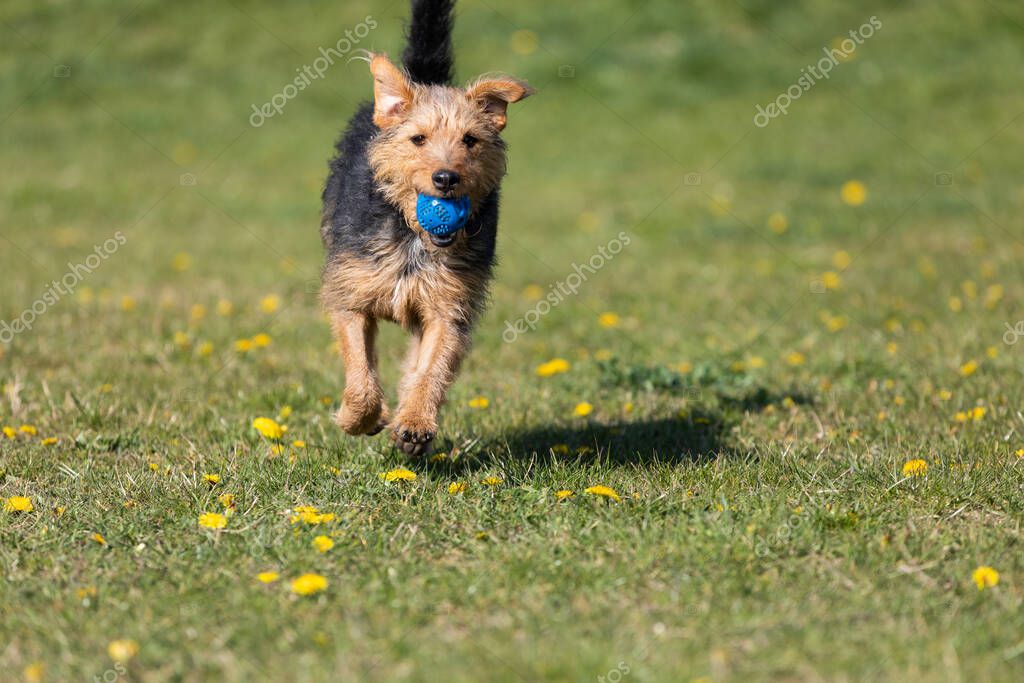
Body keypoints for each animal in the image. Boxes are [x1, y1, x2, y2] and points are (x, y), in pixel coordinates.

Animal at [319, 1, 532, 458]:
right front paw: (358, 418)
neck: (414, 239)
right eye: (418, 139)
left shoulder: (448, 308)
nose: (446, 178)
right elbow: (361, 373)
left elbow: (432, 367)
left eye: (470, 140)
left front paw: (414, 424)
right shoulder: (351, 295)